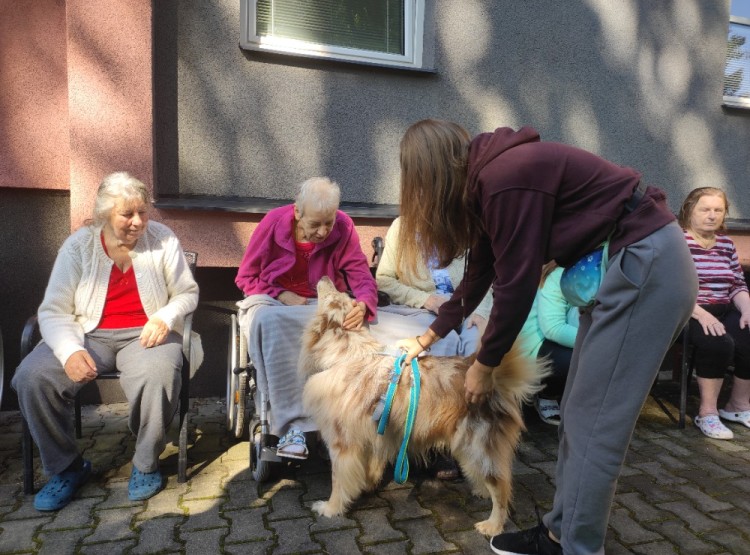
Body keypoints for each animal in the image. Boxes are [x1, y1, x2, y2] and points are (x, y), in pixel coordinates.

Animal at [296, 278, 548, 536]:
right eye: (343, 297)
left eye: (335, 297)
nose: (326, 278)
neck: (348, 354)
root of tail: (490, 377)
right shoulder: (374, 436)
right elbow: (369, 468)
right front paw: (366, 484)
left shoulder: (341, 442)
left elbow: (338, 480)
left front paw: (331, 508)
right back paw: (481, 492)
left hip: (478, 443)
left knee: (501, 487)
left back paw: (493, 525)